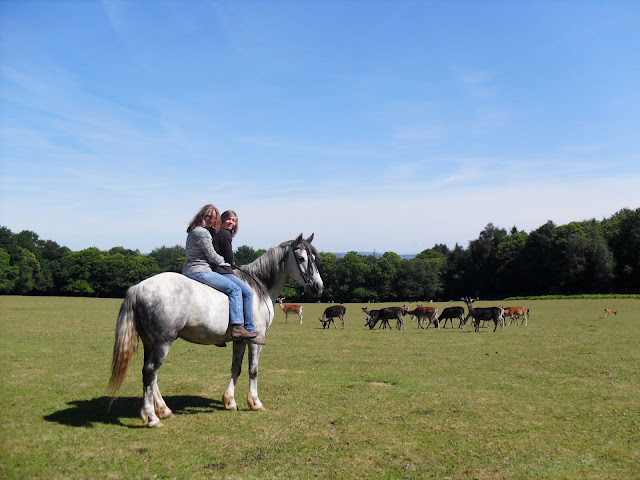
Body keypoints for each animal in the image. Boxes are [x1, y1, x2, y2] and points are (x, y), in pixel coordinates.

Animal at [108, 234, 324, 426]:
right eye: (302, 258)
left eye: (314, 258)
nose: (318, 286)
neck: (257, 288)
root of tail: (138, 288)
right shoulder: (257, 339)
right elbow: (253, 370)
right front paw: (255, 402)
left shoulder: (240, 340)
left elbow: (236, 368)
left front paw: (230, 401)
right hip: (163, 342)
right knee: (150, 372)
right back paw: (152, 417)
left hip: (150, 342)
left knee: (151, 376)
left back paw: (163, 410)